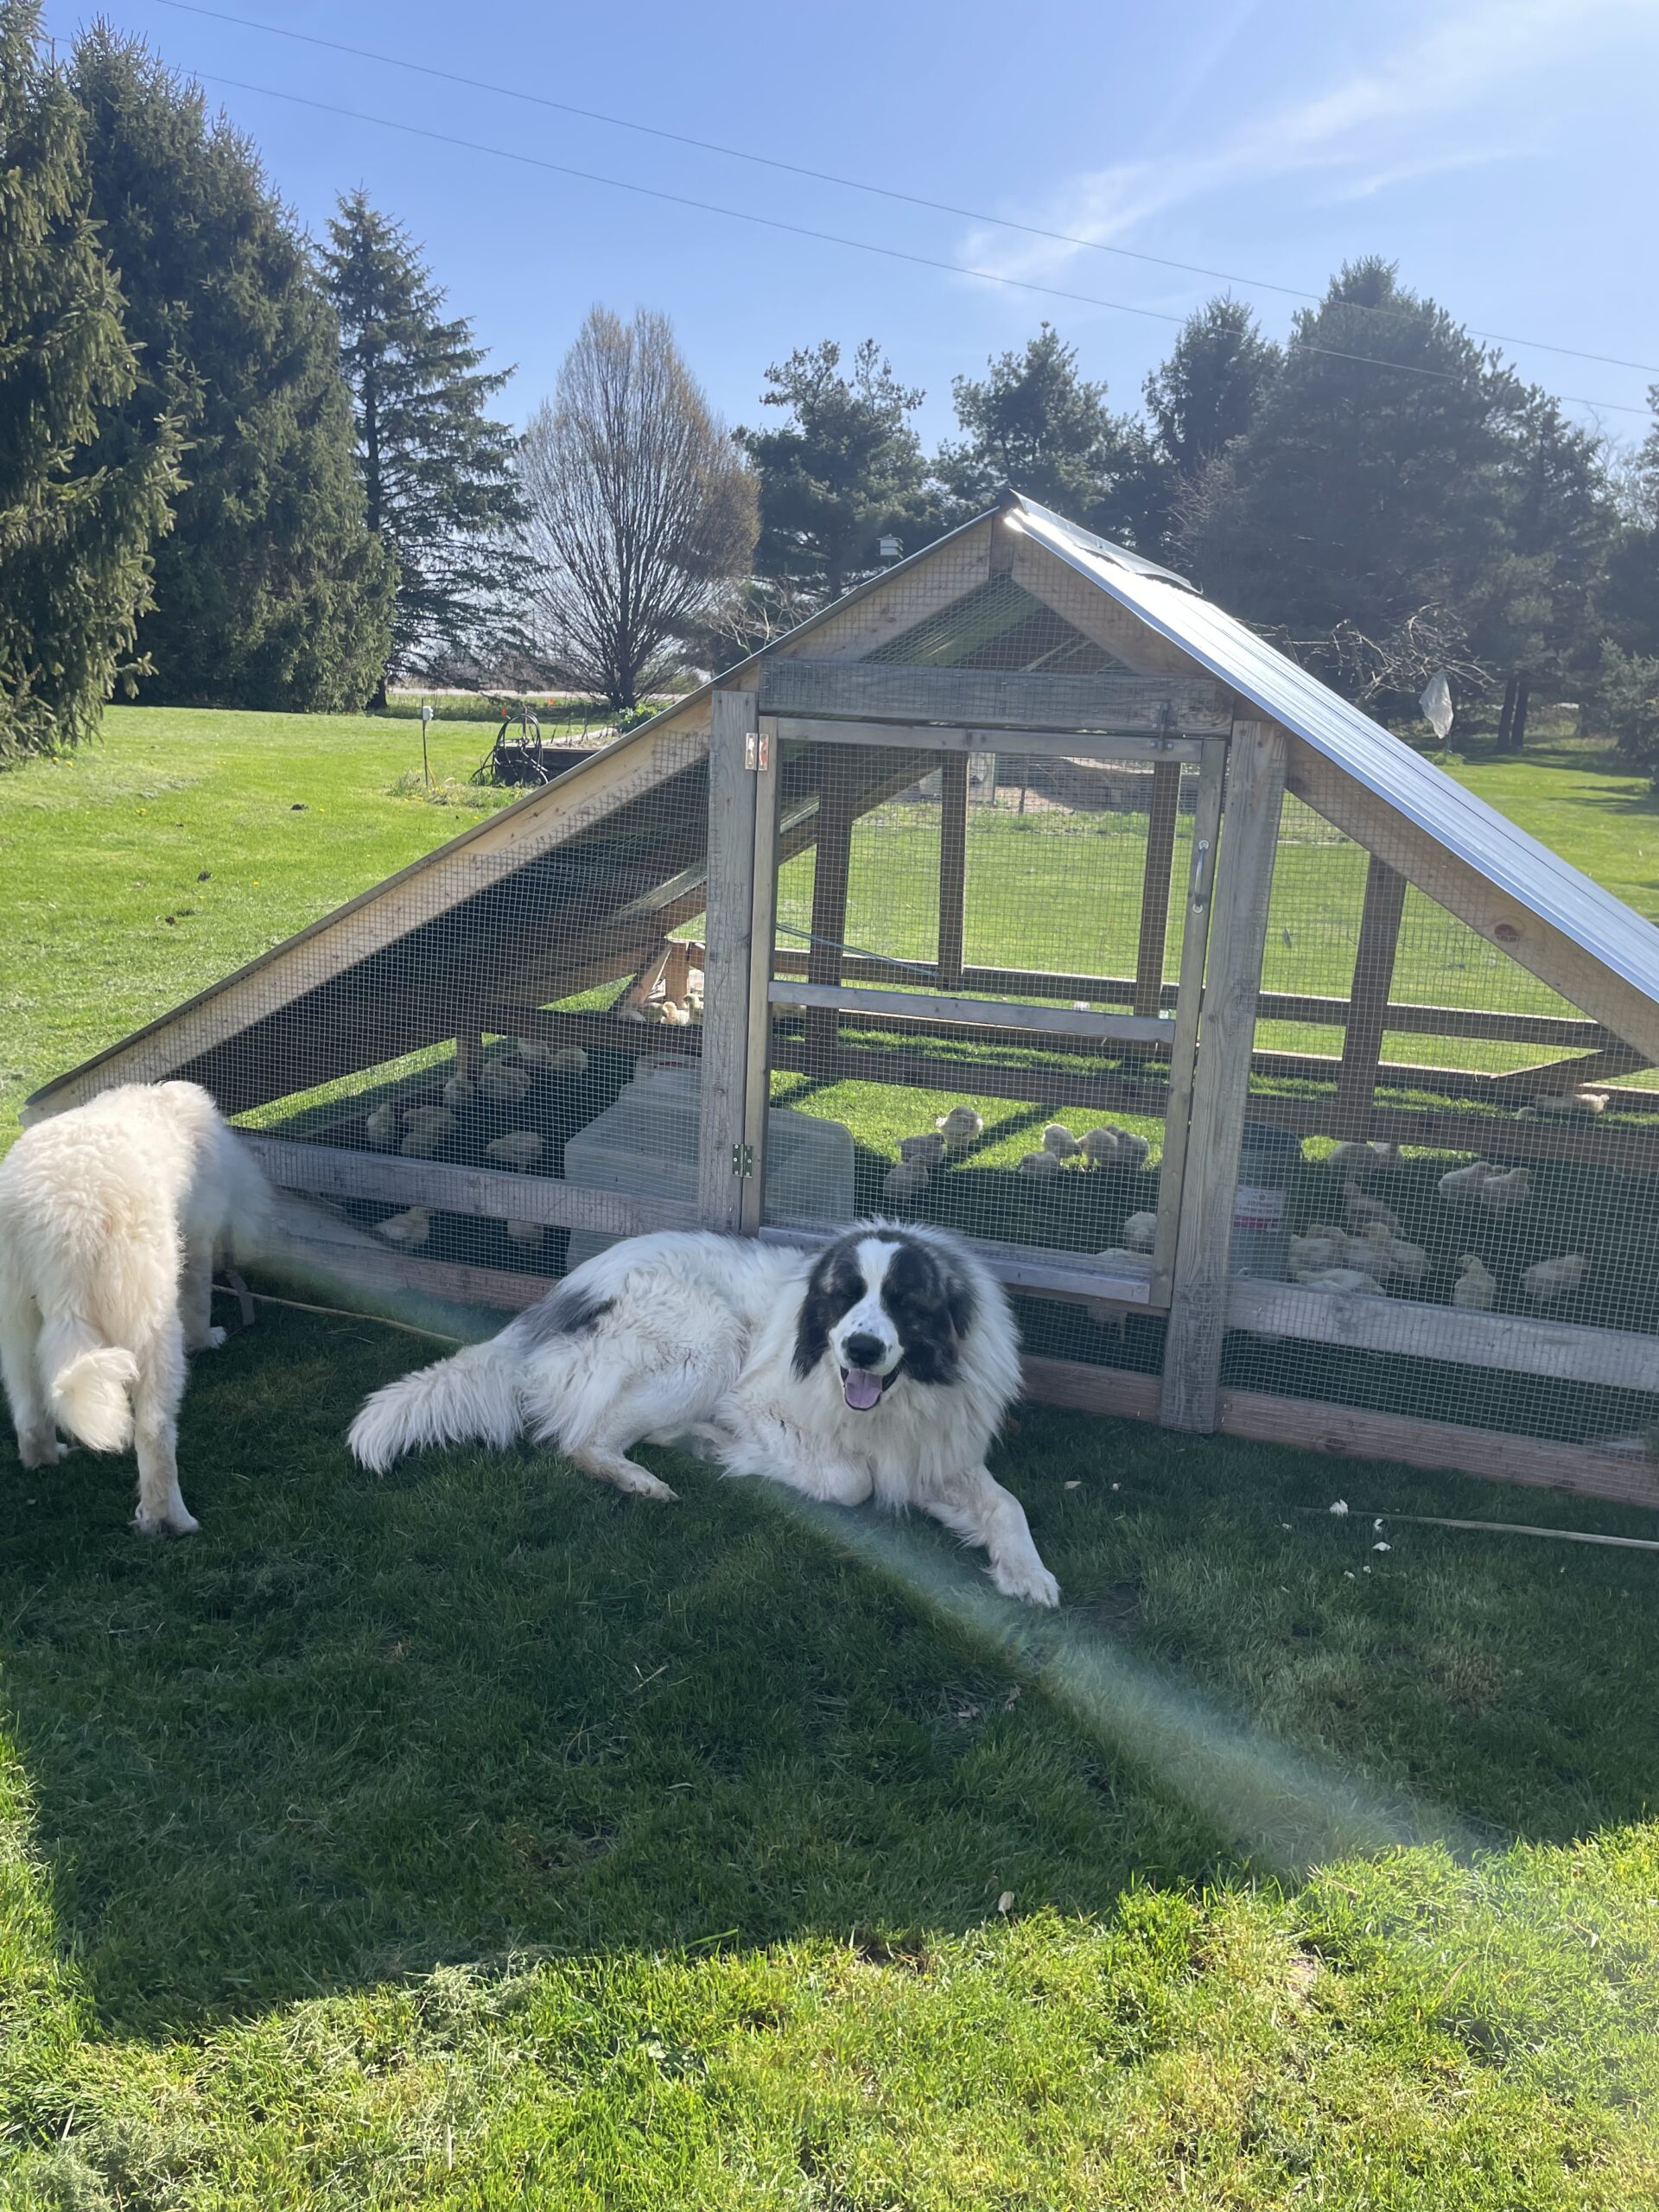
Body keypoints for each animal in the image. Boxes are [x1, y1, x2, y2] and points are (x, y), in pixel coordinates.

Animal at [0, 1079, 270, 1530]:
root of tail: (61, 1216)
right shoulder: (196, 1242)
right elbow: (199, 1300)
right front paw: (208, 1339)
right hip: (150, 1323)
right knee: (154, 1432)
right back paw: (171, 1520)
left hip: (17, 1322)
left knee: (30, 1414)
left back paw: (47, 1459)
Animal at [346, 1230, 1065, 1610]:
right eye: (845, 1298)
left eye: (904, 1302)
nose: (861, 1348)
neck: (892, 1401)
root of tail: (551, 1304)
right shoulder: (758, 1403)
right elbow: (850, 1480)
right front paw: (733, 1450)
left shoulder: (933, 1447)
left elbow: (1006, 1506)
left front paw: (1028, 1574)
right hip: (710, 1344)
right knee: (582, 1441)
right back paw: (648, 1475)